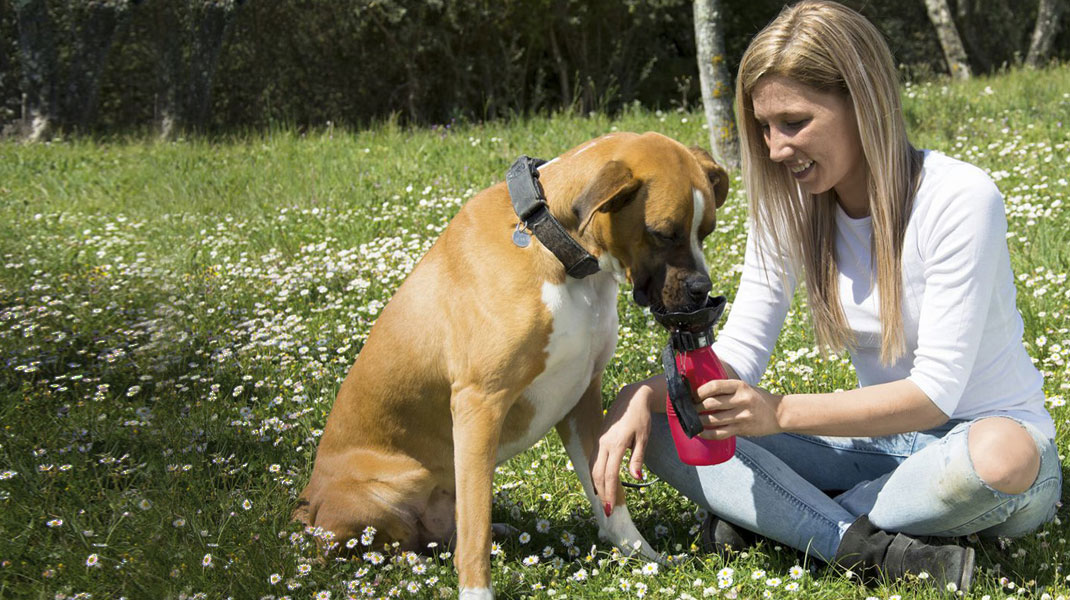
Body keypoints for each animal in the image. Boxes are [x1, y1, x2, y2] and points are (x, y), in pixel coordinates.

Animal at [293, 132, 727, 598]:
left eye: (706, 232)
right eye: (663, 233)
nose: (703, 289)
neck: (555, 244)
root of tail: (307, 506)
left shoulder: (582, 398)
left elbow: (607, 495)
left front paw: (643, 556)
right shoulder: (479, 405)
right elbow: (474, 529)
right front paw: (476, 592)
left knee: (440, 535)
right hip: (382, 495)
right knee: (383, 546)